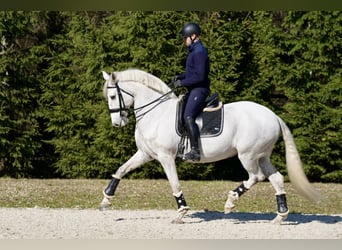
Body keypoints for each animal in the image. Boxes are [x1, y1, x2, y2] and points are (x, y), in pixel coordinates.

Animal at [99, 67, 320, 224]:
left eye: (112, 96)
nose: (117, 123)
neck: (156, 113)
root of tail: (273, 116)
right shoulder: (145, 153)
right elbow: (121, 170)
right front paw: (105, 200)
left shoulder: (165, 157)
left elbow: (174, 183)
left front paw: (181, 212)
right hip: (262, 155)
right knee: (276, 178)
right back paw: (280, 216)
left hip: (247, 155)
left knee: (256, 176)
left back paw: (231, 201)